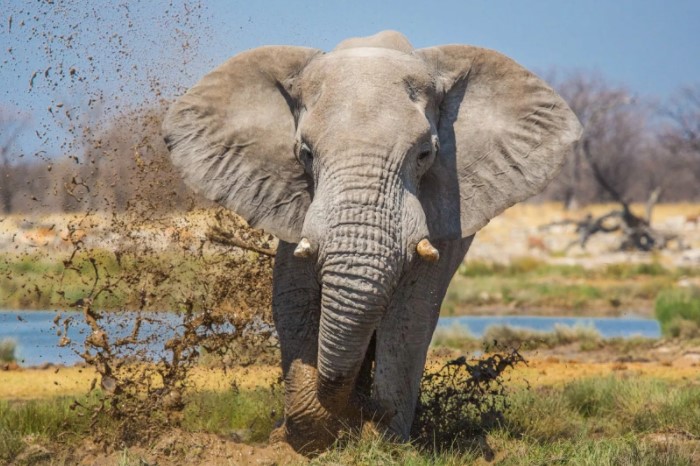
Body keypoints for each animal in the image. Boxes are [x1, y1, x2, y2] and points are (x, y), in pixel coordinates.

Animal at [163, 31, 580, 454]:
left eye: (425, 154)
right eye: (305, 154)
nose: (367, 408)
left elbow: (412, 311)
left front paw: (383, 438)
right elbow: (292, 295)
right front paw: (310, 435)